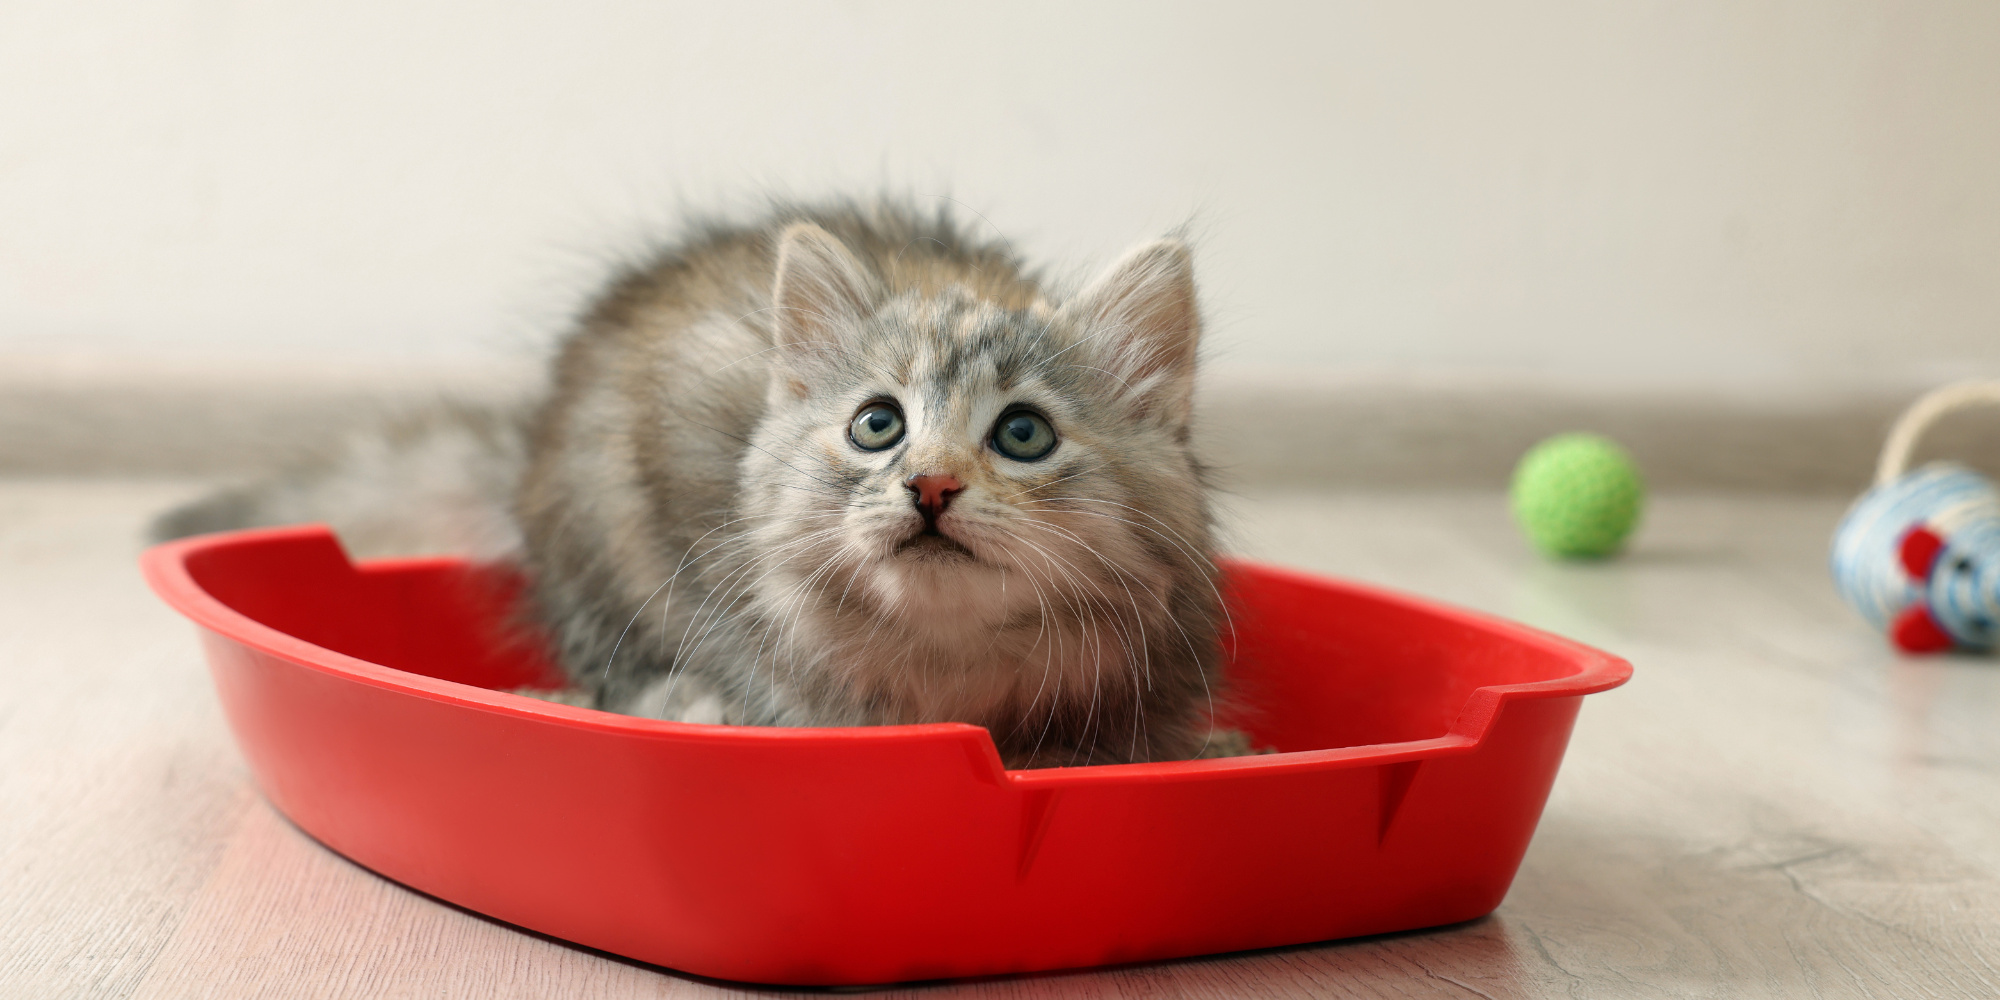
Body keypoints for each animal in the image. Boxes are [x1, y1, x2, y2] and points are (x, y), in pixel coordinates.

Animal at [156, 201, 1224, 764]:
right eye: (877, 425)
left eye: (1023, 433)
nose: (929, 487)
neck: (946, 669)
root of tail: (531, 444)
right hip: (597, 534)